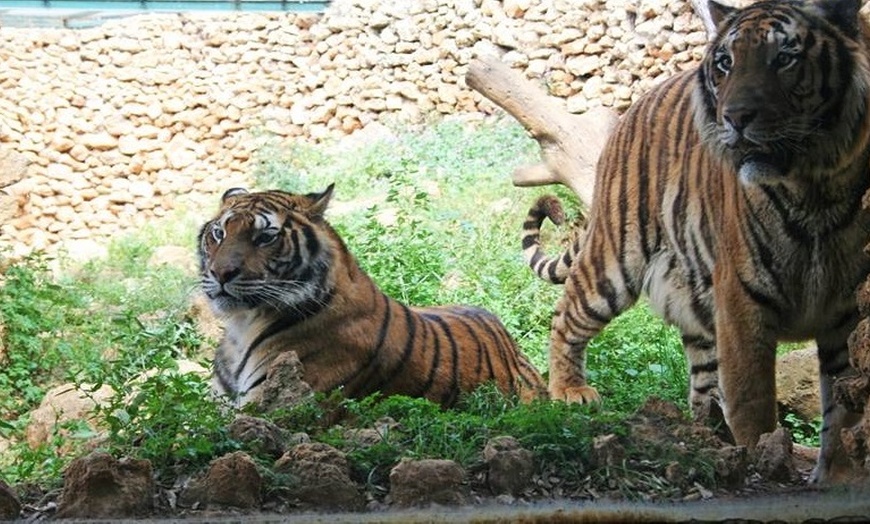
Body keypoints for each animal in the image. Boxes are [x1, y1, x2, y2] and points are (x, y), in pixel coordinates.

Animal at [520, 0, 870, 484]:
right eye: (725, 63)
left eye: (785, 58)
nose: (735, 118)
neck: (814, 188)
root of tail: (636, 104)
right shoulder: (743, 294)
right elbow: (752, 397)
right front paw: (766, 458)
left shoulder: (845, 308)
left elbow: (843, 403)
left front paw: (838, 476)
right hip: (616, 255)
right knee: (567, 314)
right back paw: (570, 391)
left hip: (693, 293)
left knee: (702, 377)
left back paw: (706, 438)